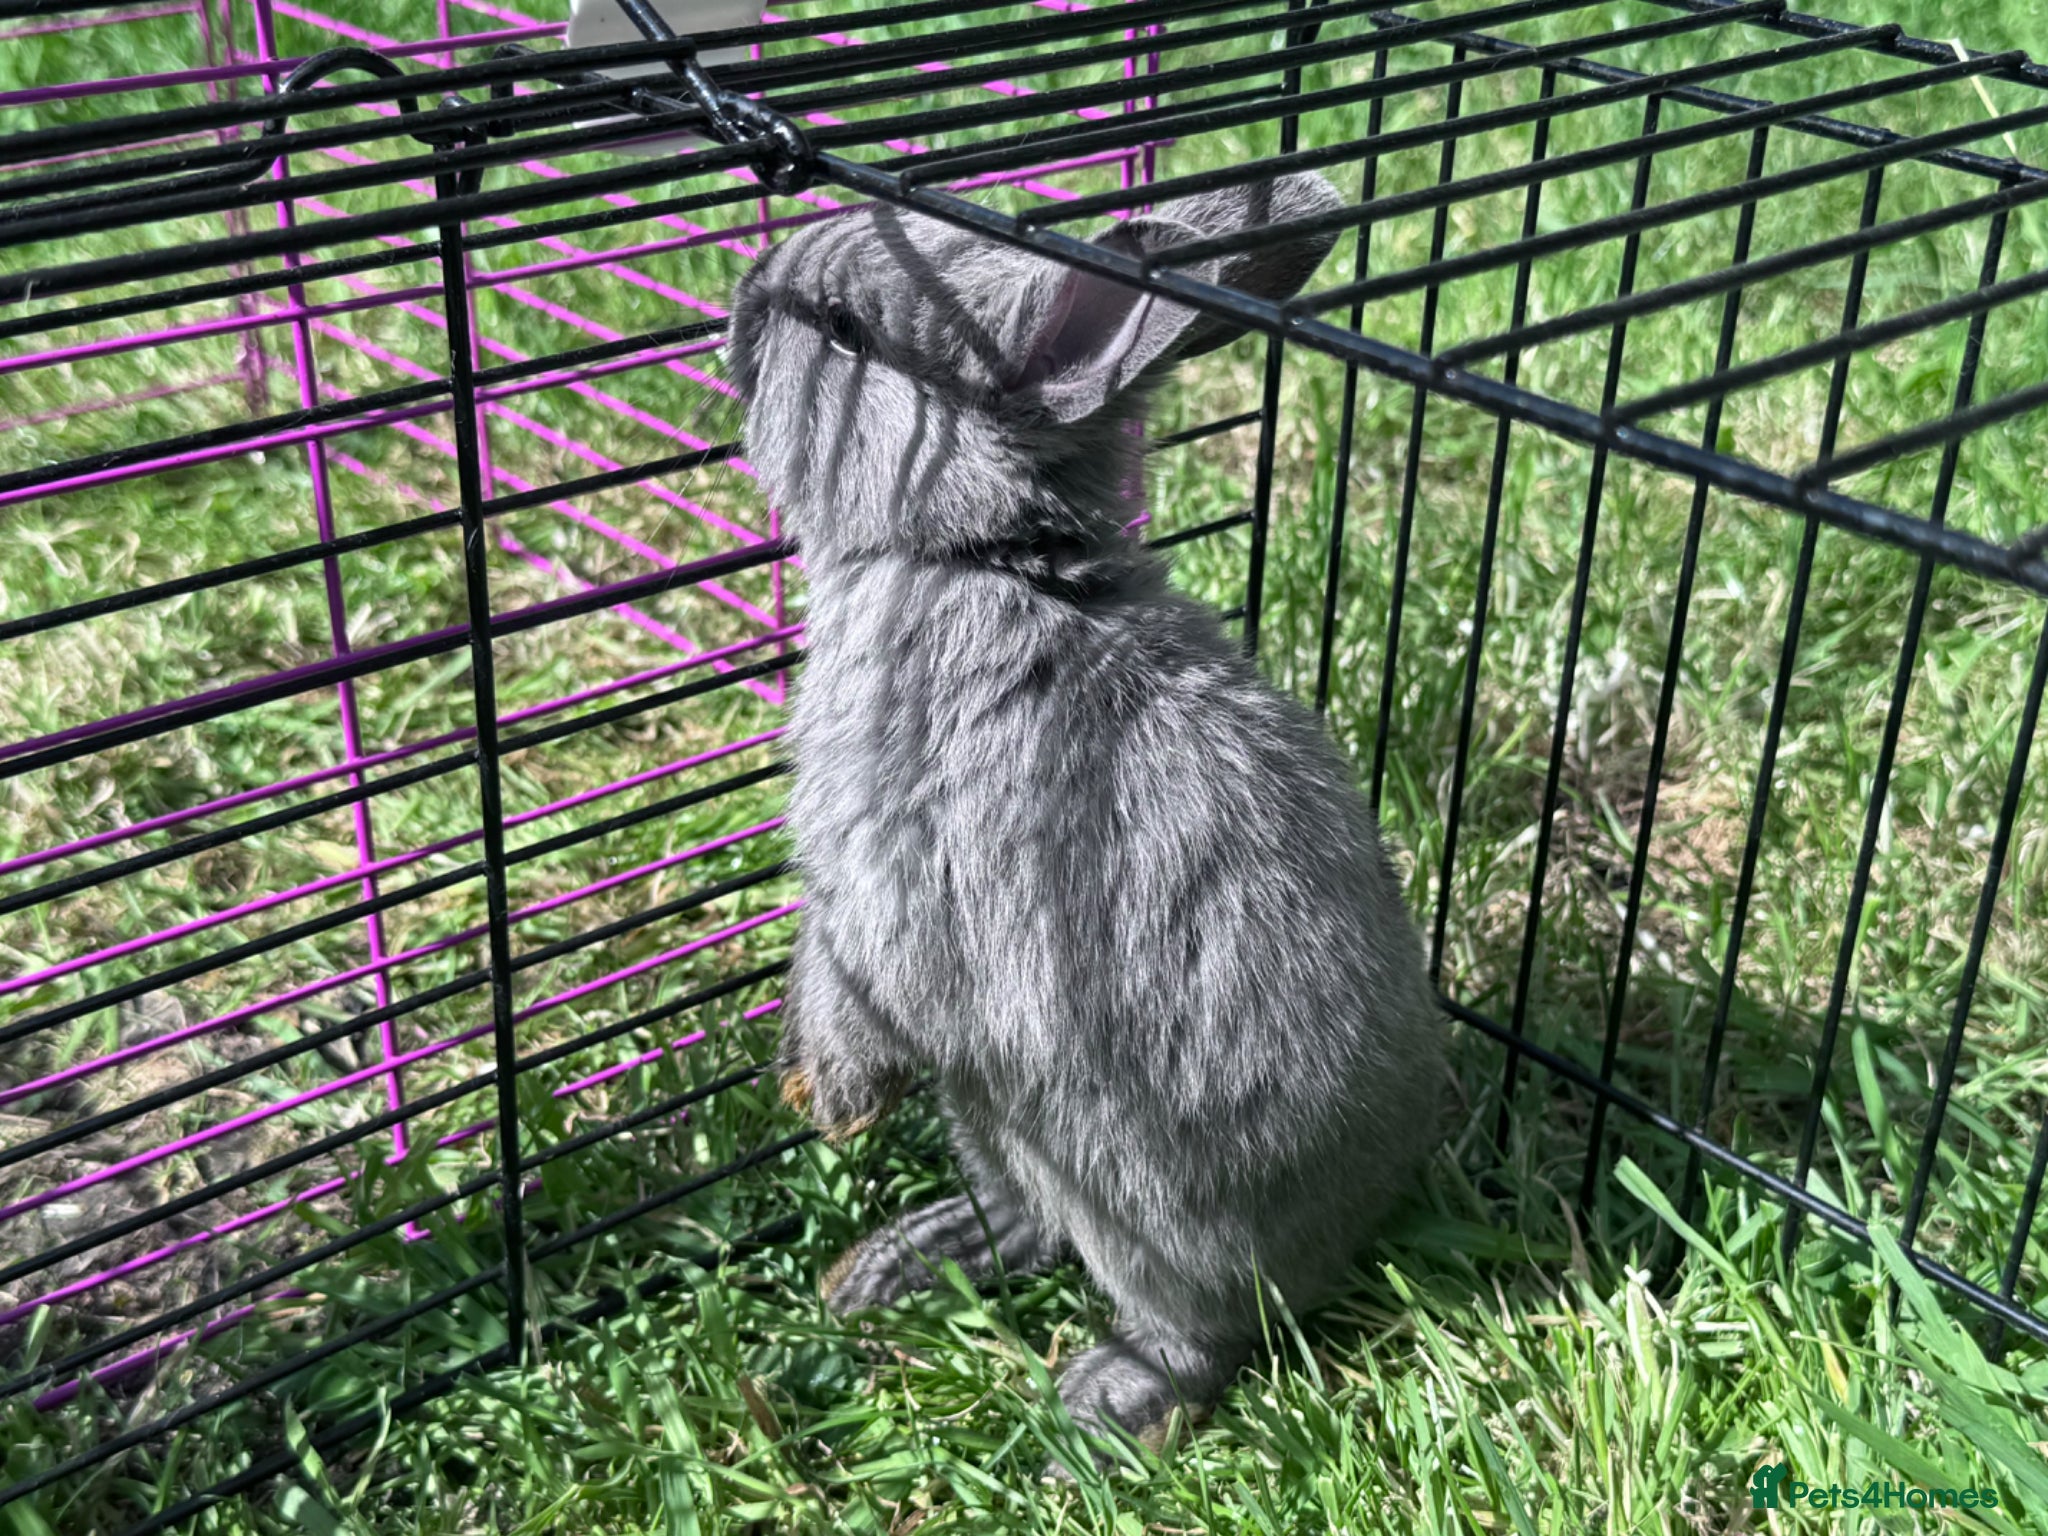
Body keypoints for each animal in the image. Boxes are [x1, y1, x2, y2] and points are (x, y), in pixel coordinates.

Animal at [724, 171, 1446, 1462]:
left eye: (843, 329)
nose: (740, 306)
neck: (974, 556)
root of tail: (1357, 1220)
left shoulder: (875, 869)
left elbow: (846, 972)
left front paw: (829, 1101)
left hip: (1132, 1193)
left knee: (1198, 1325)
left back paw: (1103, 1407)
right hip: (996, 1117)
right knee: (1024, 1224)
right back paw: (897, 1265)